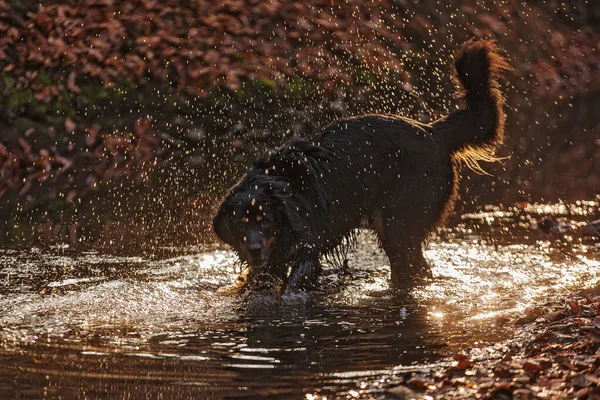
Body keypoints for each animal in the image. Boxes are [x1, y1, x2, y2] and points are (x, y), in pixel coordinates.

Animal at [213, 39, 508, 292]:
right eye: (240, 224)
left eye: (266, 221)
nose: (254, 249)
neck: (286, 187)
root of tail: (433, 131)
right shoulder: (274, 257)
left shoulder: (306, 249)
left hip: (401, 223)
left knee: (414, 266)